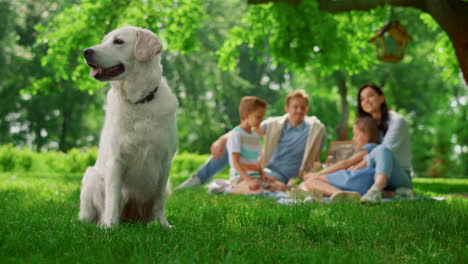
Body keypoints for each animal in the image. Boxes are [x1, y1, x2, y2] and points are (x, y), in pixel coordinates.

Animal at [78, 27, 177, 229]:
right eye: (104, 41)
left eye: (118, 41)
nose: (86, 51)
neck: (139, 101)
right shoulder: (116, 160)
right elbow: (113, 198)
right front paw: (110, 226)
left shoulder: (165, 161)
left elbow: (159, 201)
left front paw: (163, 225)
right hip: (91, 176)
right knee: (88, 213)